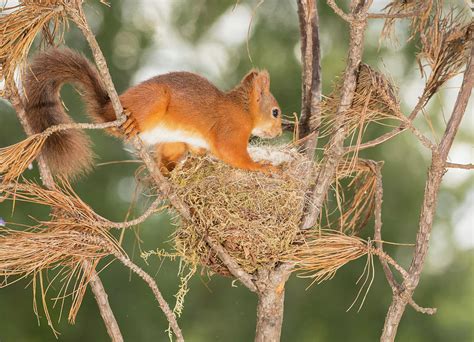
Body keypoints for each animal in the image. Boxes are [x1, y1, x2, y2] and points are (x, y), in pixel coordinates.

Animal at [23, 48, 282, 179]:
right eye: (276, 112)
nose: (280, 132)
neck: (243, 110)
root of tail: (108, 107)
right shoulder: (230, 129)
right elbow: (232, 154)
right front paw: (261, 166)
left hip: (173, 139)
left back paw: (167, 171)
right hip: (154, 99)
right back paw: (130, 124)